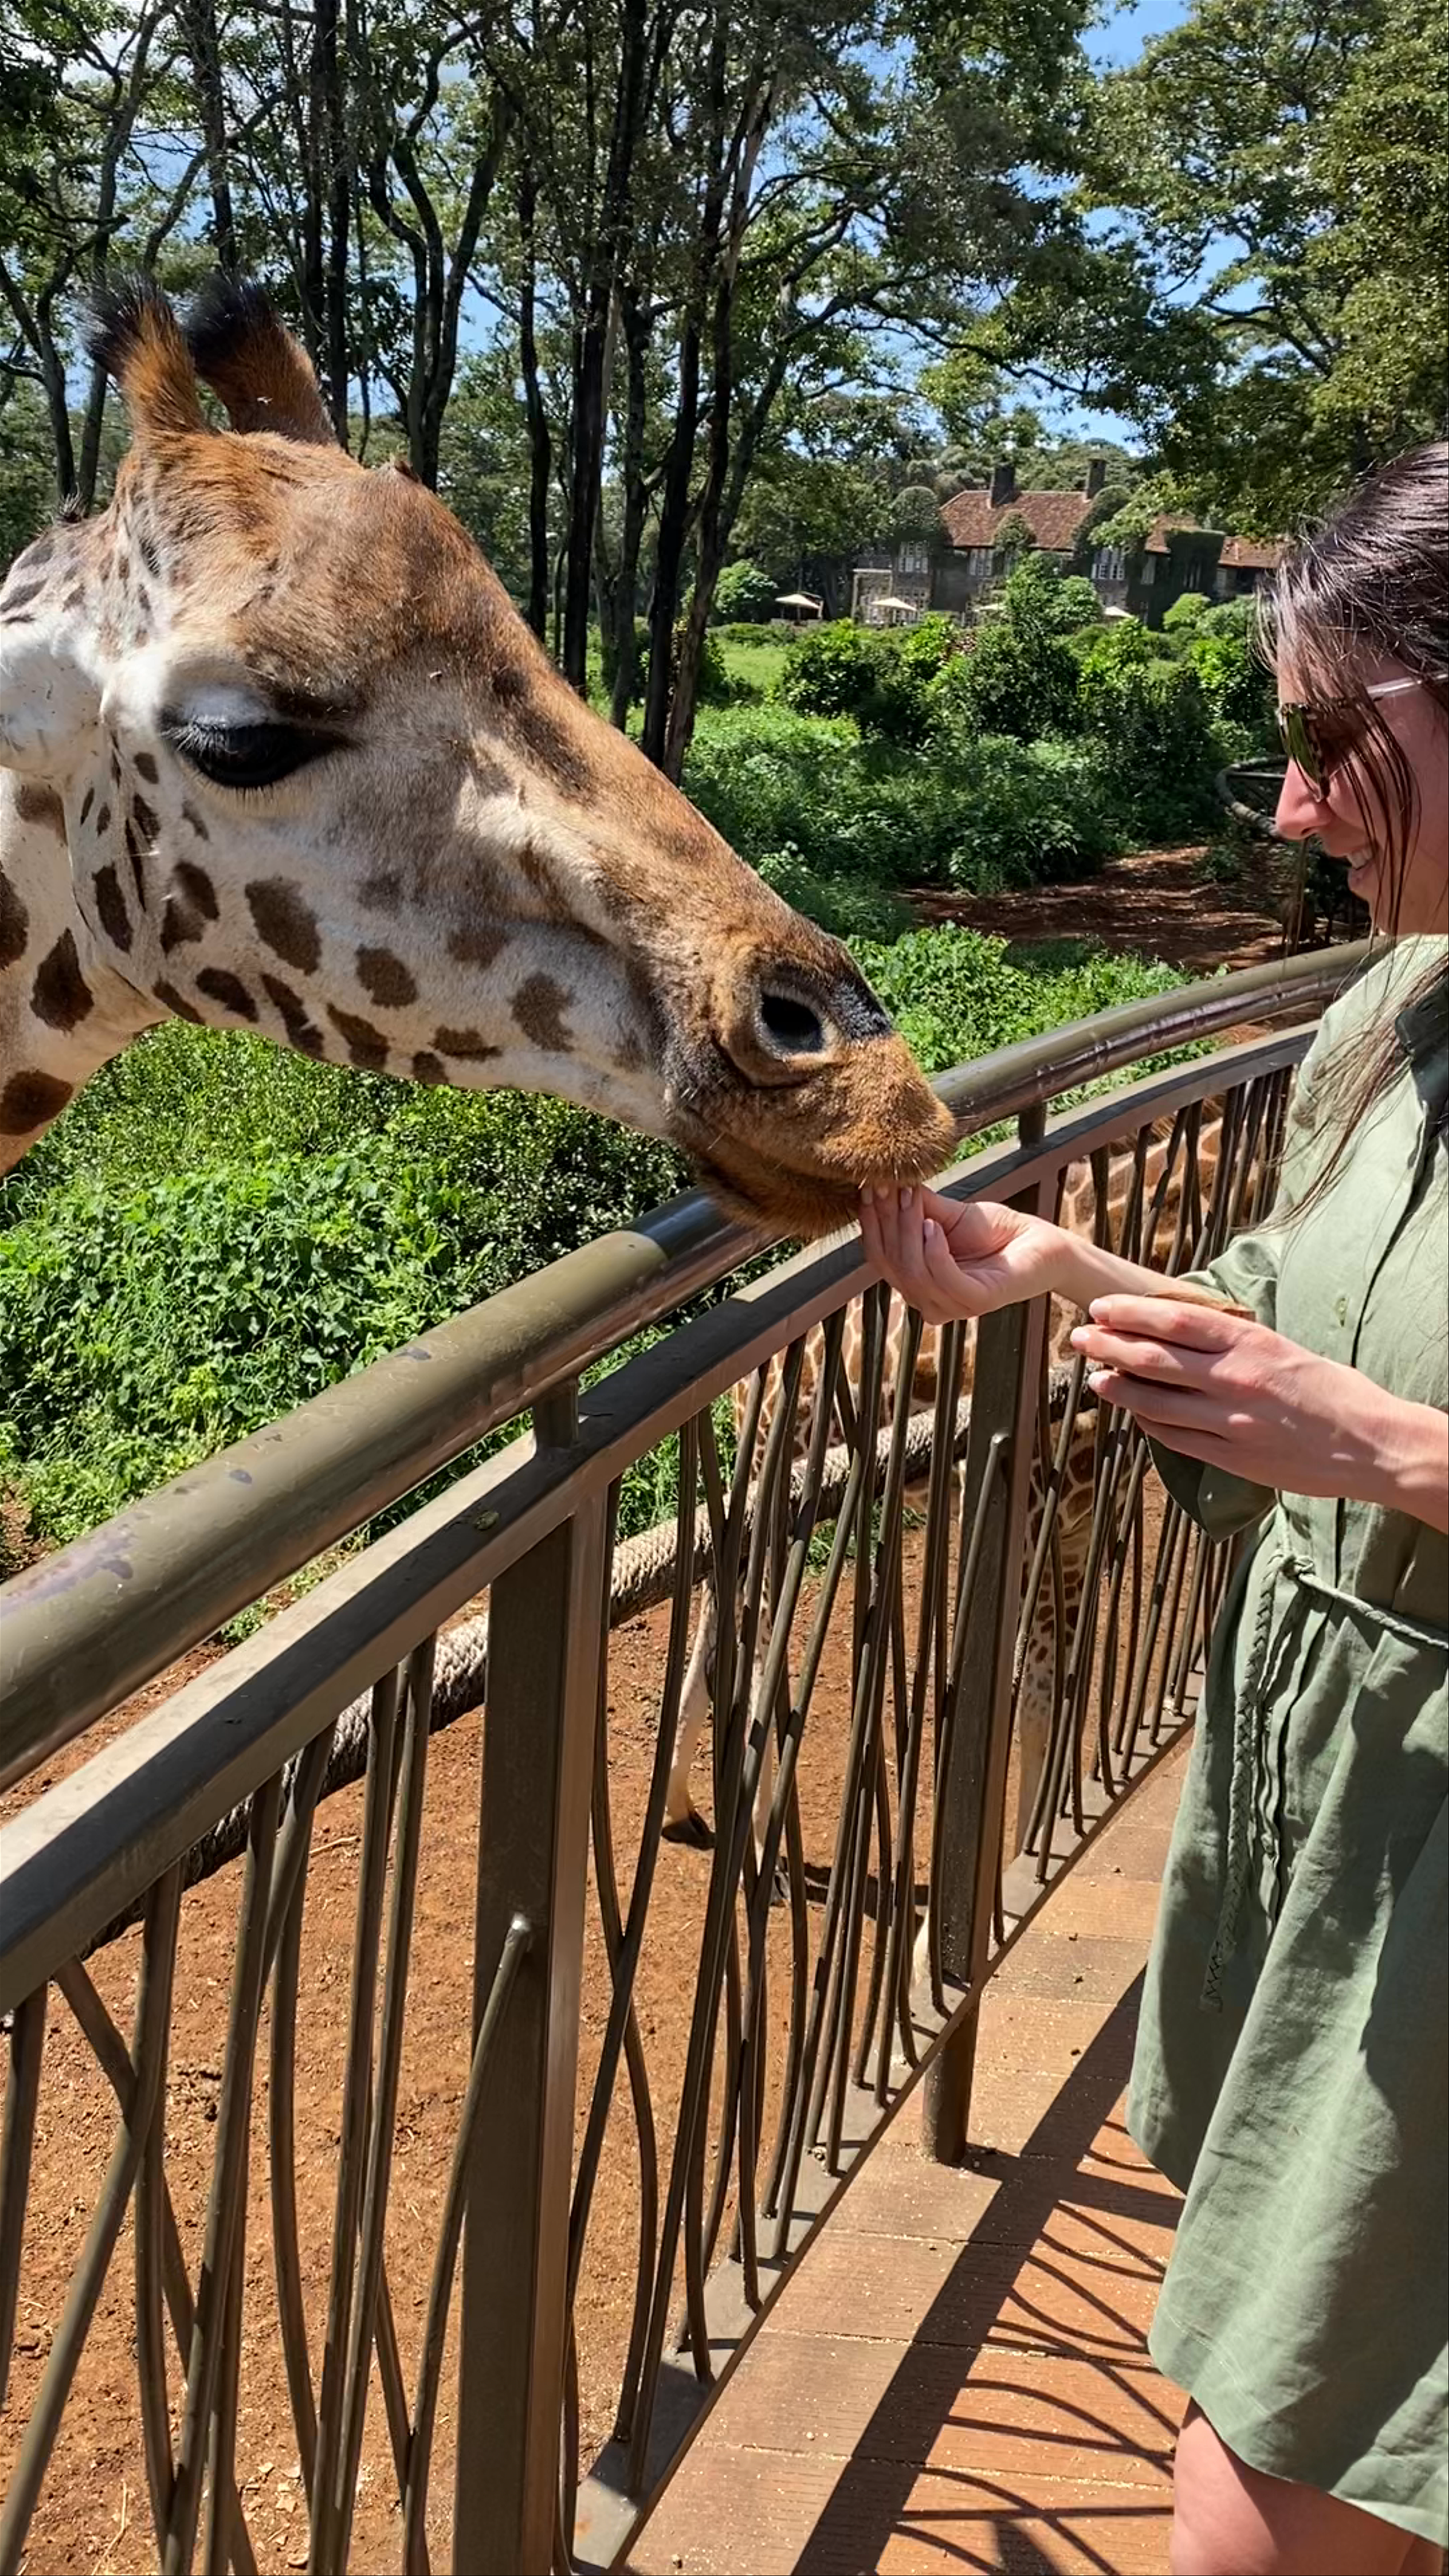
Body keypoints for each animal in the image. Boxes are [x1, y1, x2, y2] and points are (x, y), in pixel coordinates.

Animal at [663, 1107, 1255, 1862]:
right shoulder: (1025, 1517)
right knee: (755, 1652)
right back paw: (761, 1835)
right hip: (777, 1472)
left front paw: (1031, 1856)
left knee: (717, 1628)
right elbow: (1004, 1704)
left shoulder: (1078, 1525)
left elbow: (1047, 1702)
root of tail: (745, 1384)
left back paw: (684, 1809)